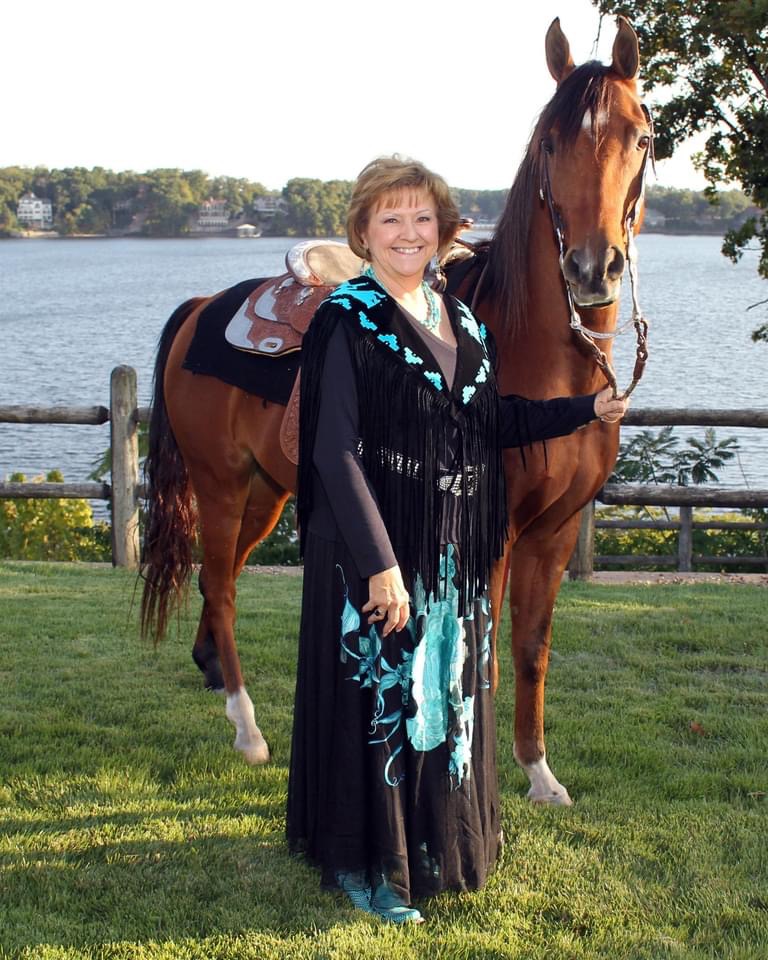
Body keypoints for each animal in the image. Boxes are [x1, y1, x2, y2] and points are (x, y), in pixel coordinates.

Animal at [141, 16, 652, 802]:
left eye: (641, 137)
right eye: (549, 142)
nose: (593, 268)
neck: (537, 356)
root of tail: (206, 307)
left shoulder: (556, 531)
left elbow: (531, 650)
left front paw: (539, 773)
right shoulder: (492, 533)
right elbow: (482, 657)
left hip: (263, 493)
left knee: (214, 581)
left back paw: (214, 676)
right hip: (220, 487)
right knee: (221, 587)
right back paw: (248, 728)